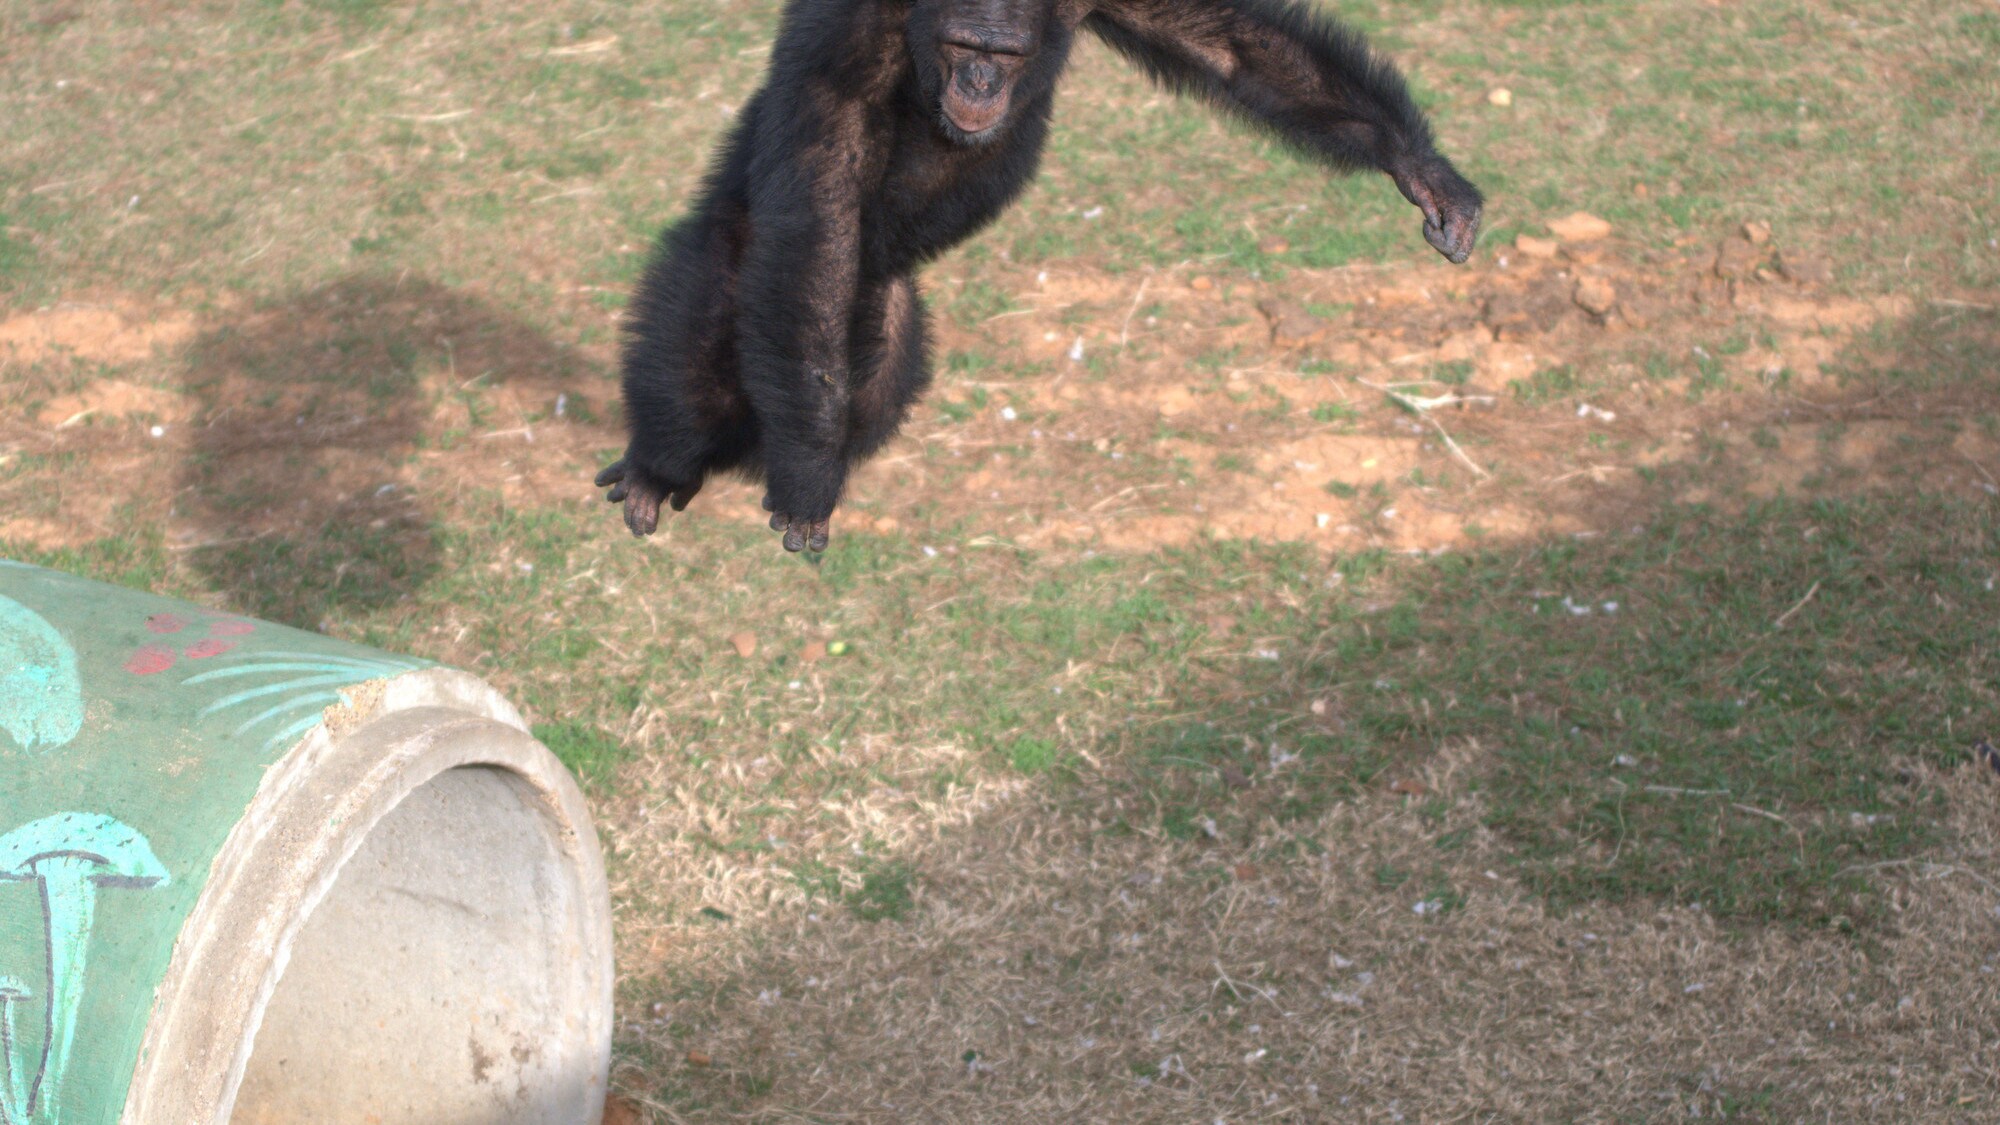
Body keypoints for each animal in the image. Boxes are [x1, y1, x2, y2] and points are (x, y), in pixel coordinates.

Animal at [588, 0, 1472, 548]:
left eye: (1003, 53)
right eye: (963, 47)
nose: (979, 82)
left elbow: (1234, 46)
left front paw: (1419, 166)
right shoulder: (844, 42)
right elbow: (821, 202)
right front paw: (806, 474)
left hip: (885, 307)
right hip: (734, 259)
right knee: (703, 353)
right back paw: (659, 468)